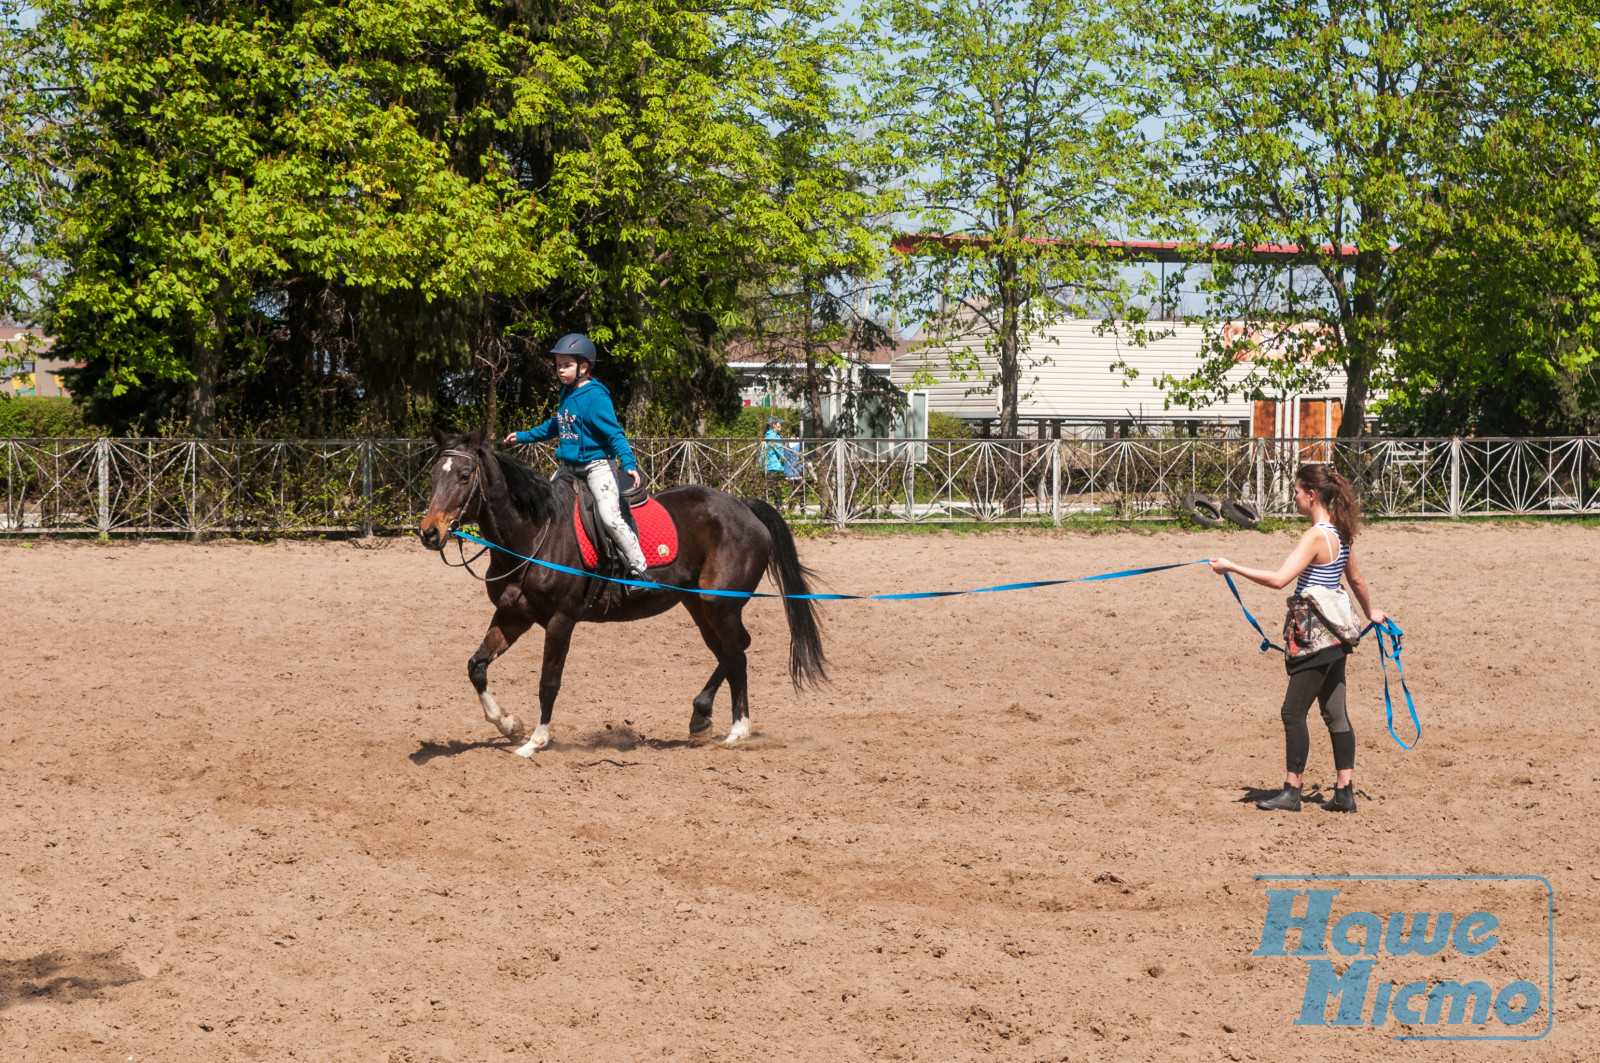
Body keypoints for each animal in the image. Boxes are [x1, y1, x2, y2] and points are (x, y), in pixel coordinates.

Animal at [416, 425, 825, 755]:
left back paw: (732, 727)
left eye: (464, 475)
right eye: (435, 474)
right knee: (731, 652)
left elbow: (549, 682)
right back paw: (713, 721)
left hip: (718, 604)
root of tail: (743, 506)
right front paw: (508, 724)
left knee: (737, 648)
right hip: (699, 606)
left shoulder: (561, 620)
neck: (533, 534)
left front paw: (537, 741)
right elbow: (477, 667)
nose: (429, 532)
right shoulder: (513, 616)